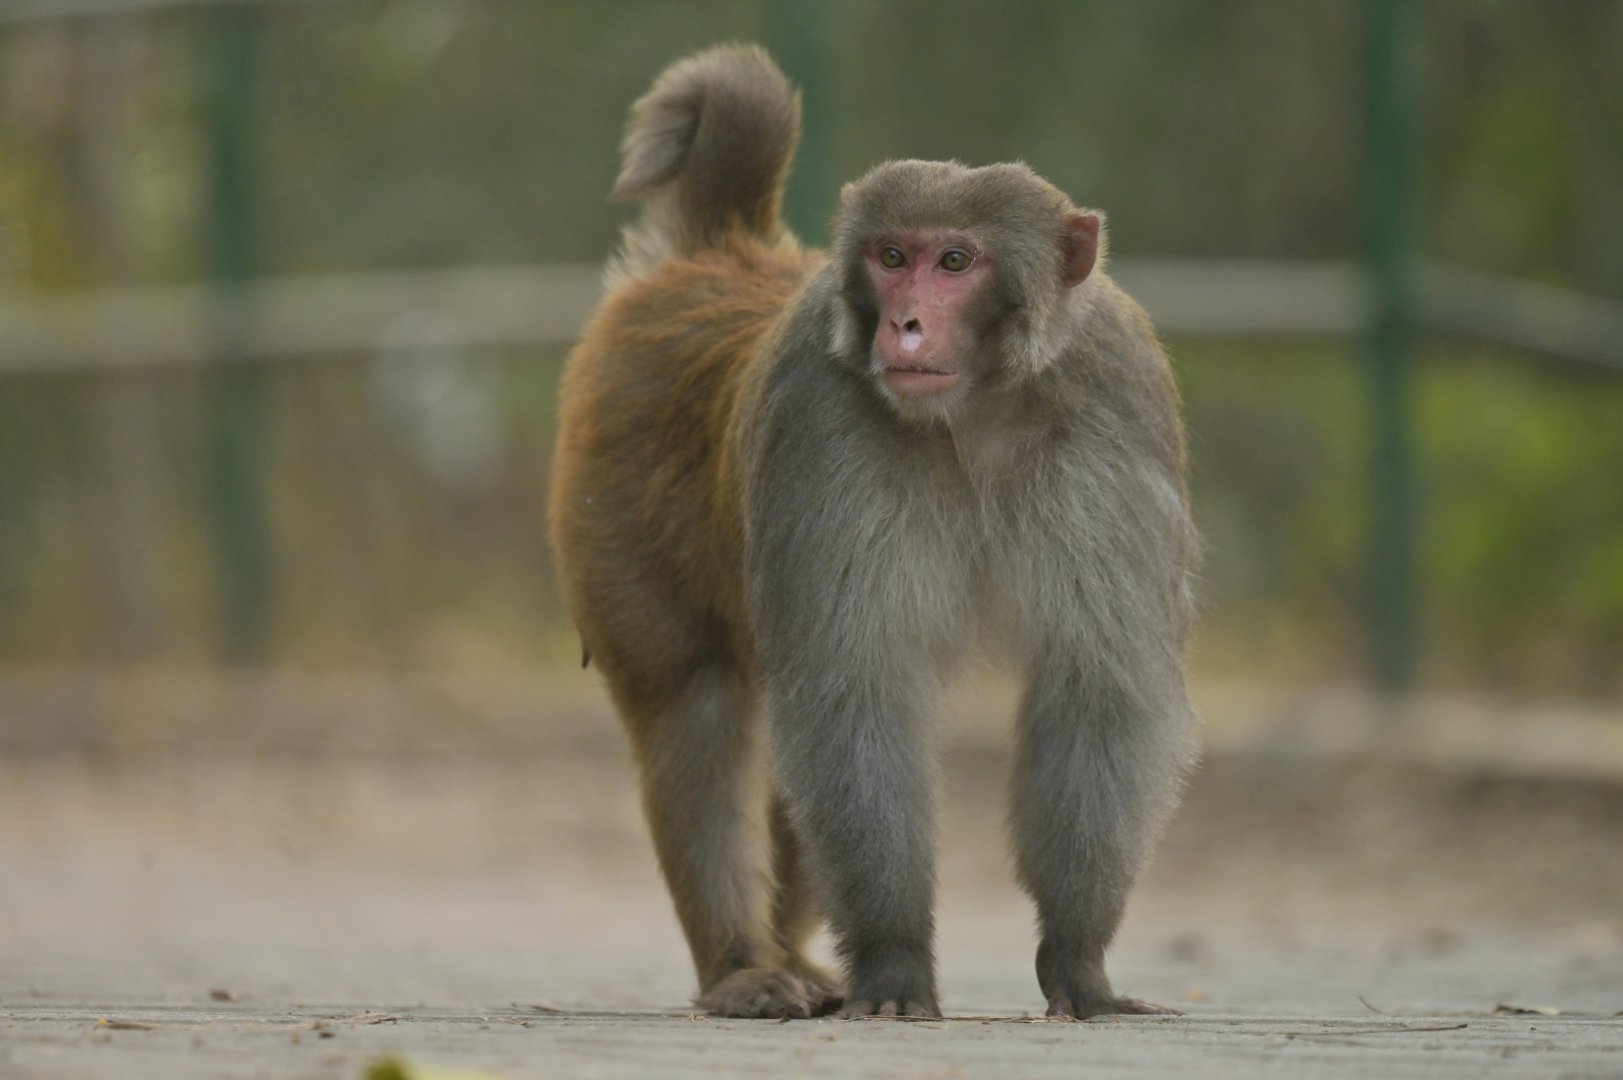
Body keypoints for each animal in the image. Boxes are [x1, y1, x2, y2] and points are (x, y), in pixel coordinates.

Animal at [548, 44, 1198, 1020]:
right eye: (893, 257)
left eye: (956, 260)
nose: (906, 324)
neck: (974, 414)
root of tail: (718, 257)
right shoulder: (817, 413)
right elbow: (855, 689)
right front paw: (893, 961)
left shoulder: (1115, 403)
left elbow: (1097, 684)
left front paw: (1077, 959)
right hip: (611, 497)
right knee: (699, 700)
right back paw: (744, 967)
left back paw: (791, 955)